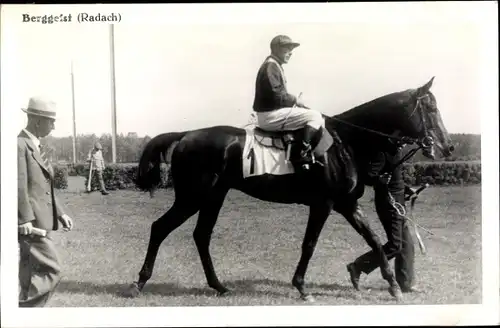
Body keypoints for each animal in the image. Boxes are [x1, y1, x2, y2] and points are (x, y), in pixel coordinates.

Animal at [128, 77, 454, 302]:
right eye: (431, 107)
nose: (447, 146)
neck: (345, 143)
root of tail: (186, 135)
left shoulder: (347, 204)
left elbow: (373, 238)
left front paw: (392, 285)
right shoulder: (323, 204)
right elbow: (309, 244)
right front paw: (301, 287)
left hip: (212, 198)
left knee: (201, 236)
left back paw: (218, 286)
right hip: (192, 197)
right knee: (160, 228)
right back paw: (139, 283)